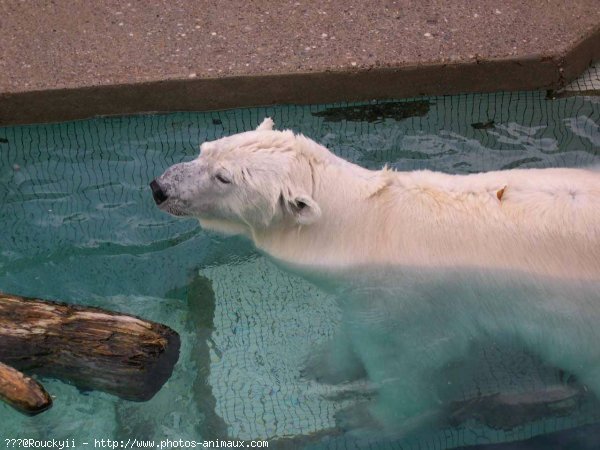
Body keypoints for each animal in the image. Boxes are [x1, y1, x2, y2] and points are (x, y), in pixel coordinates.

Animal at [151, 118, 600, 428]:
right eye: (204, 149)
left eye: (223, 177)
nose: (159, 187)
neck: (366, 223)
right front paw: (323, 365)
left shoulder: (407, 305)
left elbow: (408, 368)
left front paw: (364, 419)